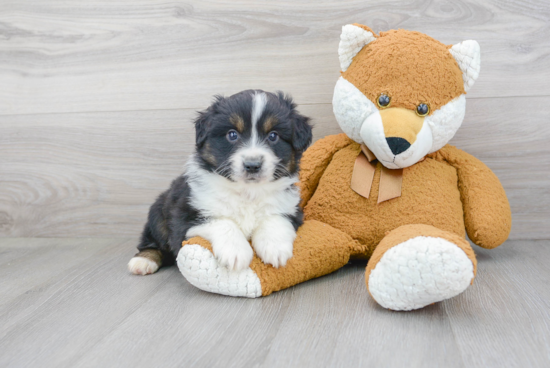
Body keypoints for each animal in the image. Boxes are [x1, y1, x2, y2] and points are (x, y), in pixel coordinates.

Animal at [126, 90, 312, 276]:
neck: (247, 191)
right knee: (153, 241)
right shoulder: (186, 216)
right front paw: (236, 252)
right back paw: (143, 260)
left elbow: (275, 219)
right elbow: (223, 222)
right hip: (158, 213)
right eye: (232, 134)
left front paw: (275, 248)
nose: (252, 165)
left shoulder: (291, 209)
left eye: (273, 136)